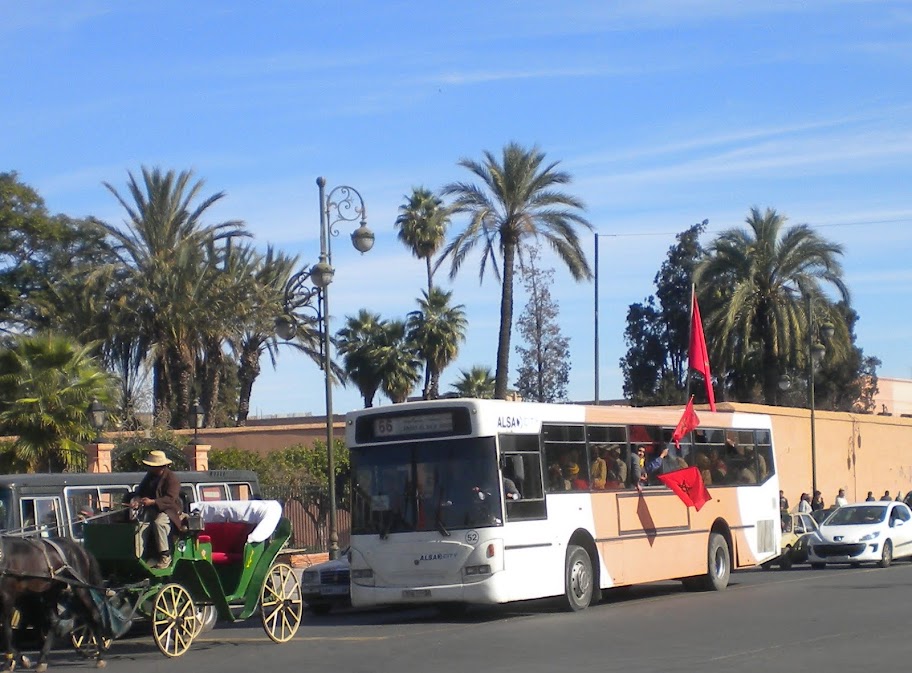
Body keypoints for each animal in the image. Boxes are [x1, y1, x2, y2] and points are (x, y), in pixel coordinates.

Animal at [0, 532, 112, 668]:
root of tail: (80, 549)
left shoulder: (8, 597)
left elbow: (7, 630)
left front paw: (8, 662)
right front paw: (19, 658)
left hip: (79, 587)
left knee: (94, 614)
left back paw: (100, 655)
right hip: (50, 591)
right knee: (54, 622)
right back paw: (42, 659)